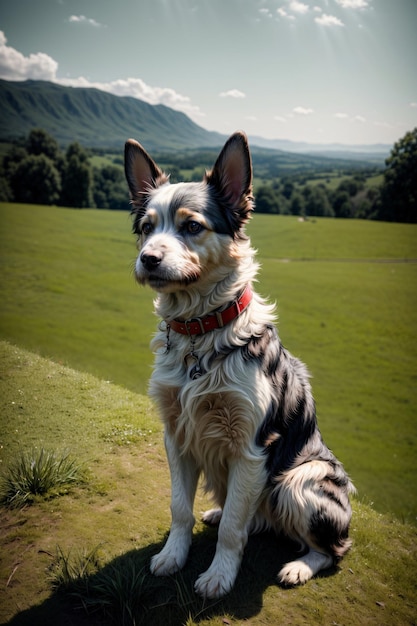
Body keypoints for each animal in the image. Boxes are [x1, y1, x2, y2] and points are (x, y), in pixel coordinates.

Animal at [124, 129, 354, 596]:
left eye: (192, 226)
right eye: (146, 228)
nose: (148, 259)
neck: (200, 331)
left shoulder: (251, 446)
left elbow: (233, 529)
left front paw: (218, 576)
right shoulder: (176, 433)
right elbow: (179, 508)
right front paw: (172, 556)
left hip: (300, 479)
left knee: (330, 548)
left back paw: (298, 566)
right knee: (254, 518)